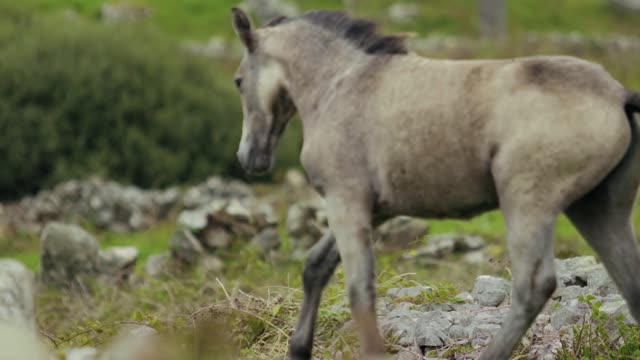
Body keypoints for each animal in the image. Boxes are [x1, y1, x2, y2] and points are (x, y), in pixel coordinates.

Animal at [231, 6, 640, 360]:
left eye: (237, 81)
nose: (249, 157)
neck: (340, 84)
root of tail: (618, 94)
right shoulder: (372, 210)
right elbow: (316, 266)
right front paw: (298, 349)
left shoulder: (345, 200)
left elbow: (359, 290)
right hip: (598, 209)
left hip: (527, 203)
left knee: (533, 285)